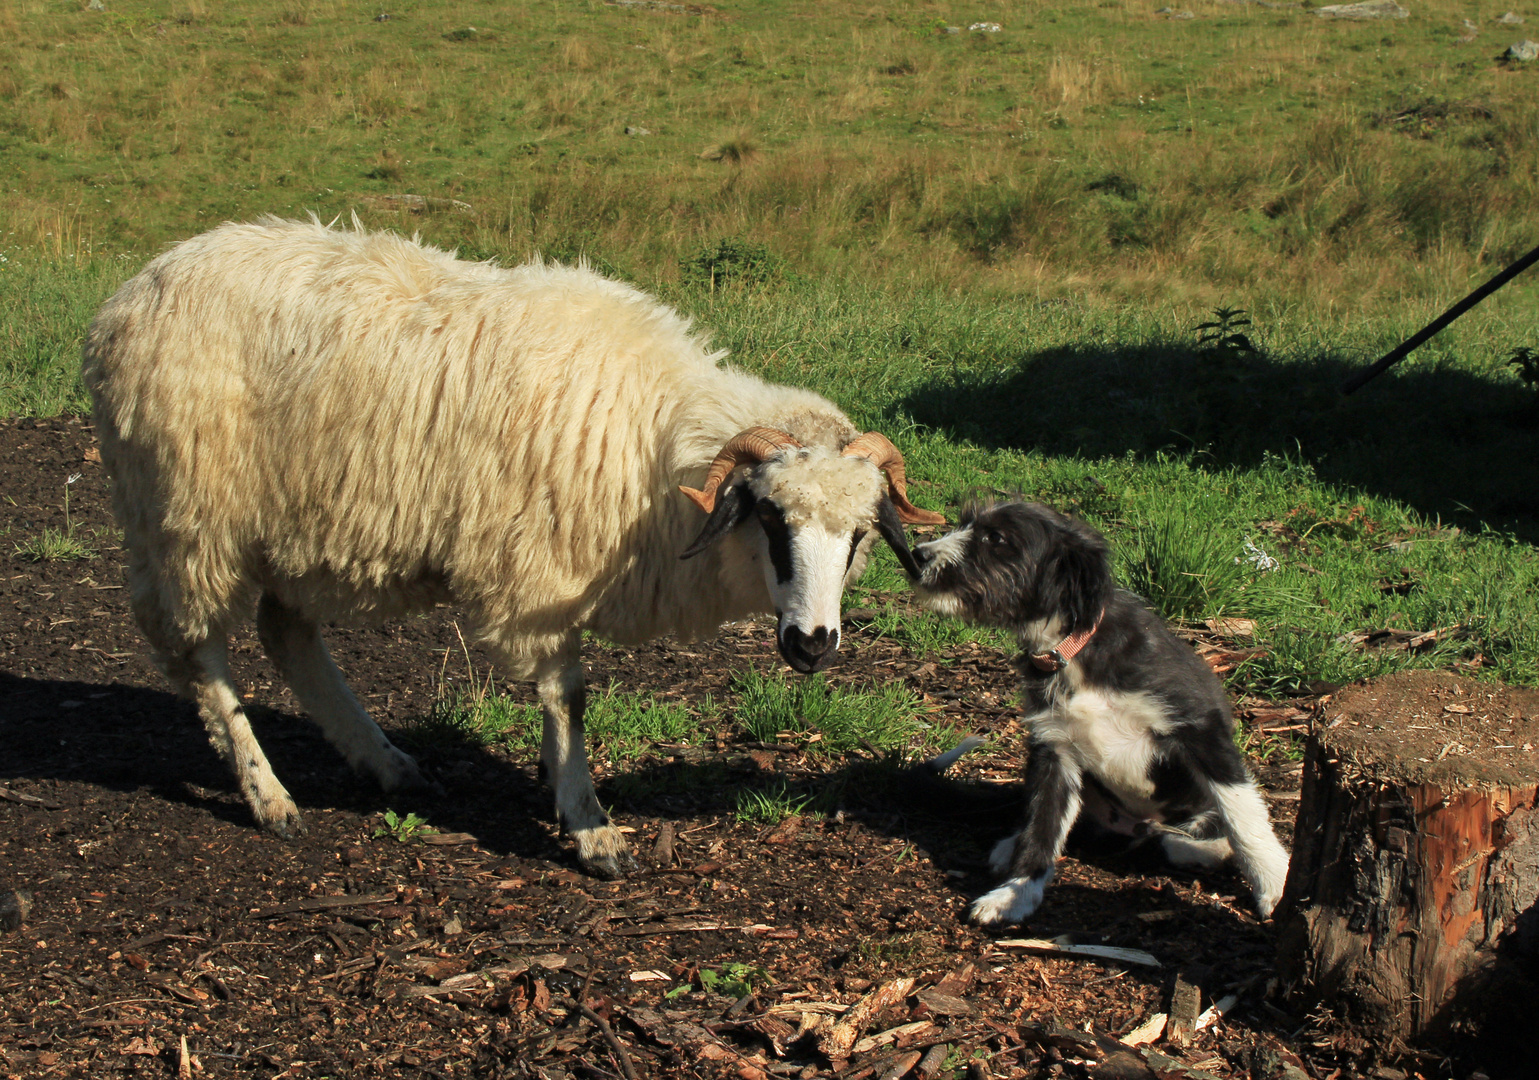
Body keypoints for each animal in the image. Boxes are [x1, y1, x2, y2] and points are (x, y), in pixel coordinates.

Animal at [87, 218, 948, 880]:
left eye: (861, 534)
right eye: (768, 518)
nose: (813, 644)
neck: (653, 444)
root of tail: (131, 292)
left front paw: (553, 780)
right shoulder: (538, 570)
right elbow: (568, 695)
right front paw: (589, 823)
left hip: (299, 528)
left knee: (286, 633)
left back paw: (384, 762)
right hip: (185, 514)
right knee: (197, 650)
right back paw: (269, 796)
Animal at [911, 504, 1286, 929]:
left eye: (996, 538)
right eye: (966, 523)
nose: (918, 554)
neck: (1071, 651)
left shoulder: (1199, 726)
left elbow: (1242, 815)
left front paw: (1275, 883)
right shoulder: (1055, 750)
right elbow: (1041, 827)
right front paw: (1015, 894)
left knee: (1180, 839)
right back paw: (1010, 844)